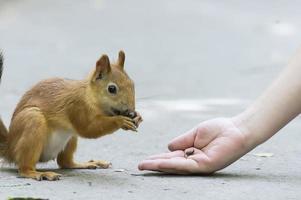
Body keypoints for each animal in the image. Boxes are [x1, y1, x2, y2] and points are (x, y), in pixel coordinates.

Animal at [0, 50, 142, 180]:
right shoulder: (76, 107)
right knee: (24, 168)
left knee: (65, 163)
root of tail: (9, 148)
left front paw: (138, 117)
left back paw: (85, 164)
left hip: (70, 138)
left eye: (132, 84)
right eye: (111, 89)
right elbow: (88, 129)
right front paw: (120, 121)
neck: (89, 96)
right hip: (32, 120)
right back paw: (38, 173)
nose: (131, 112)